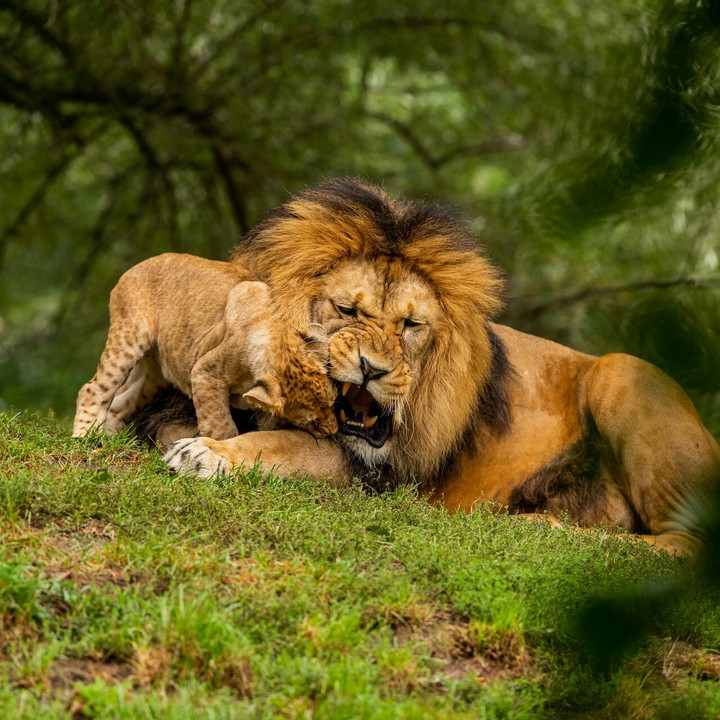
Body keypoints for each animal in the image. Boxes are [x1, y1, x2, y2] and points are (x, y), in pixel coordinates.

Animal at [73, 253, 337, 441]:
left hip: (155, 375)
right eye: (309, 421)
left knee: (120, 403)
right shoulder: (204, 373)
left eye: (333, 403)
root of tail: (137, 265)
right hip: (130, 336)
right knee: (93, 388)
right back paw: (84, 436)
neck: (279, 340)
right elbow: (220, 425)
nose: (333, 432)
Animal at [162, 178, 720, 556]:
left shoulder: (373, 477)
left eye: (412, 324)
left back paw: (539, 526)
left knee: (686, 545)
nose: (372, 369)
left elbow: (280, 446)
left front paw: (208, 454)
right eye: (347, 310)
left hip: (621, 371)